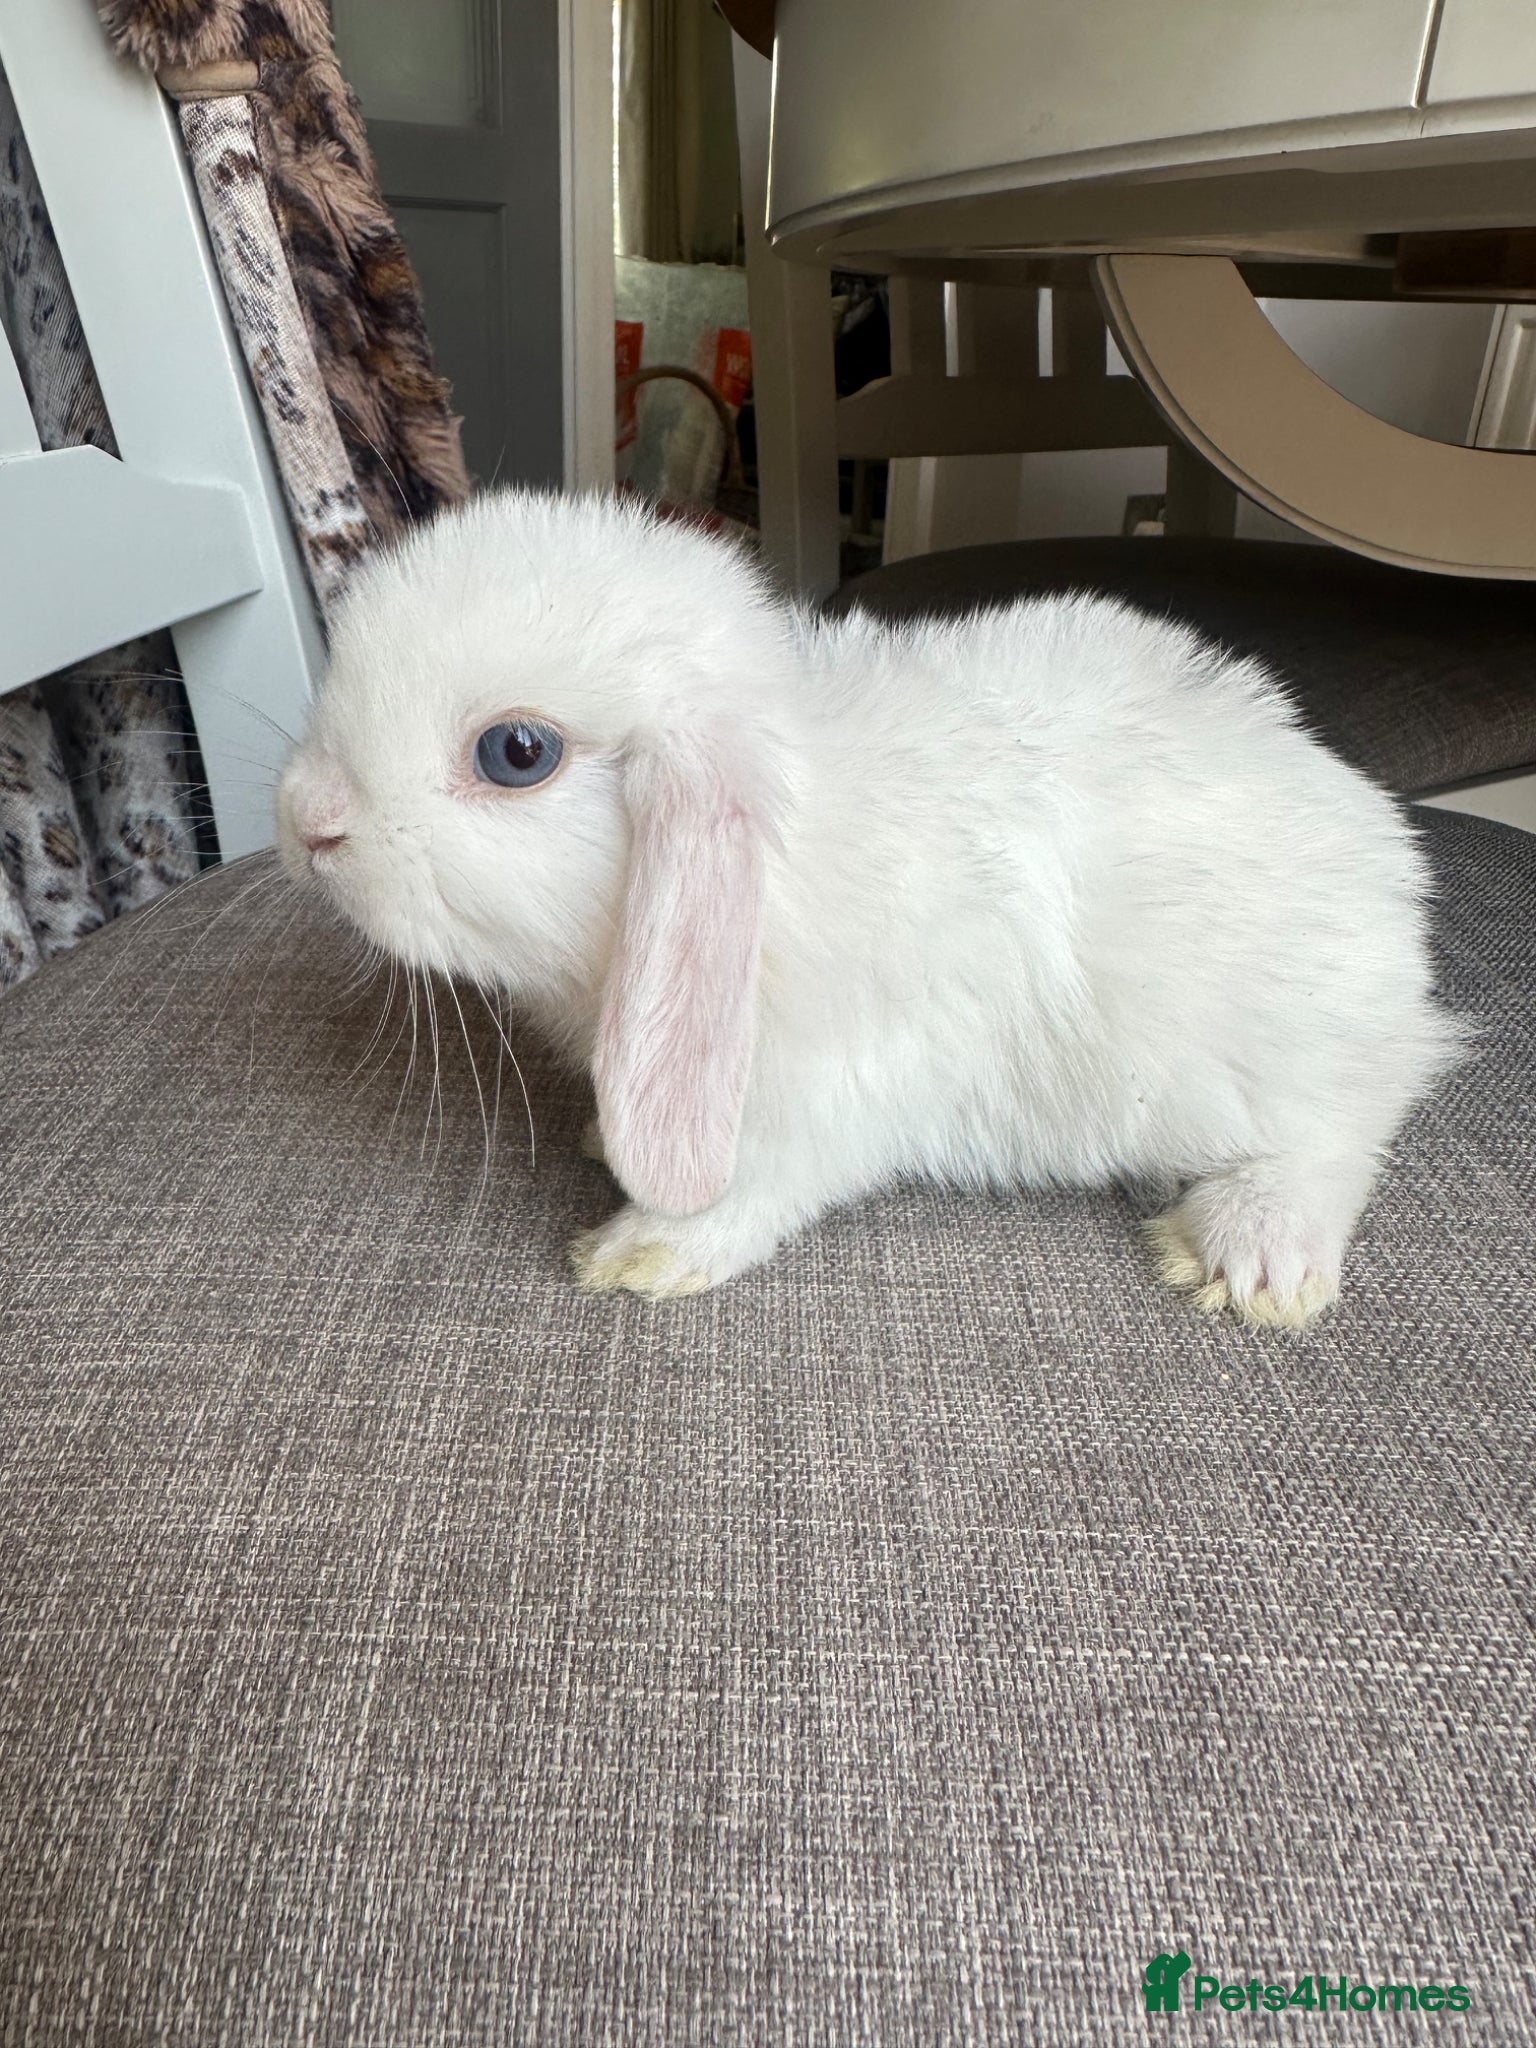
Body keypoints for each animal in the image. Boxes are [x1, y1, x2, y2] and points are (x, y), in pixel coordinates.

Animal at [276, 487, 1463, 1327]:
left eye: (516, 752)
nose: (302, 818)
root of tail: (1384, 861)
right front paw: (600, 1139)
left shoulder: (819, 1097)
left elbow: (755, 1190)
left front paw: (637, 1254)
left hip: (1274, 1052)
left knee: (1349, 1122)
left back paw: (1250, 1252)